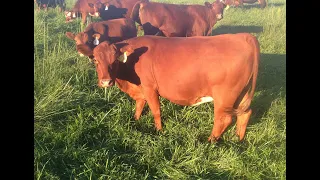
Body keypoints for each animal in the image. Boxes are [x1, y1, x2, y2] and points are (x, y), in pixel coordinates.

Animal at [77, 33, 260, 141]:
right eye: (95, 60)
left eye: (114, 60)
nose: (106, 82)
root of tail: (243, 36)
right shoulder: (141, 91)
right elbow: (139, 106)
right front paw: (135, 121)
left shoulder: (150, 88)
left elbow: (156, 111)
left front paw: (159, 131)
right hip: (242, 94)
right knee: (245, 113)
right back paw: (238, 140)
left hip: (225, 96)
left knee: (224, 119)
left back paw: (210, 142)